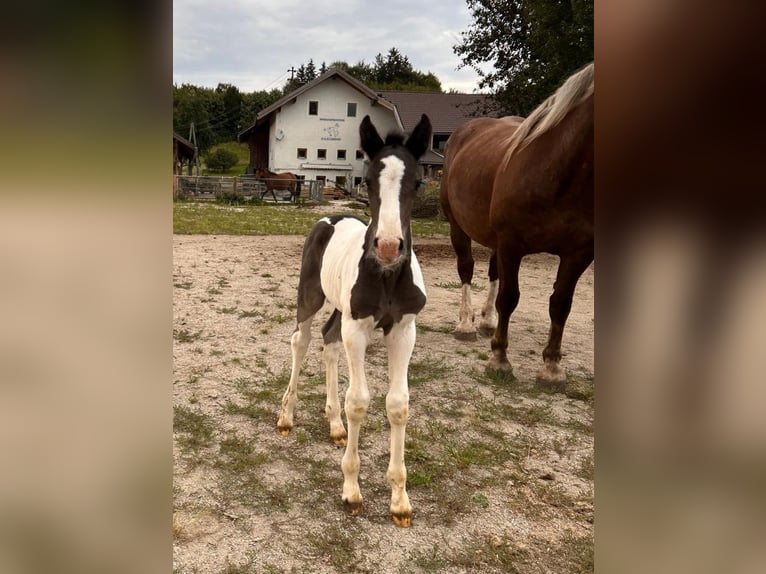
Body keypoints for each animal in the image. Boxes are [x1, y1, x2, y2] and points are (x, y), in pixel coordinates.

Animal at [276, 113, 432, 532]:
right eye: (368, 180)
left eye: (417, 182)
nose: (389, 246)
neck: (387, 277)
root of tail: (331, 216)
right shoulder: (358, 329)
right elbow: (359, 401)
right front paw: (351, 491)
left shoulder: (404, 331)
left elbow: (398, 404)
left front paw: (400, 501)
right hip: (311, 297)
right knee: (302, 340)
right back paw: (286, 416)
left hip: (340, 311)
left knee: (328, 340)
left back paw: (334, 425)